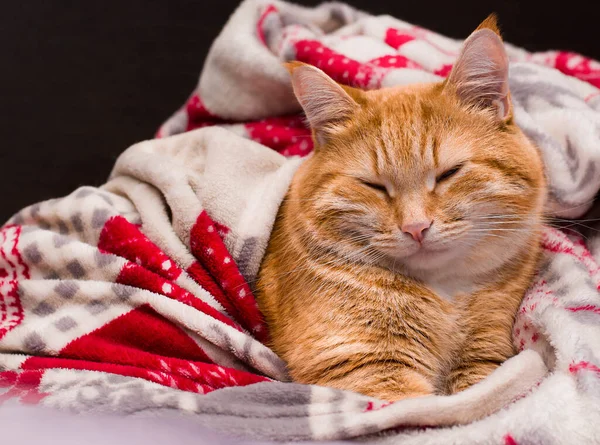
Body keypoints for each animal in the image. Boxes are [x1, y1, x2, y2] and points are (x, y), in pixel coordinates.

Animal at [255, 16, 548, 398]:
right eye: (374, 186)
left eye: (449, 173)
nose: (416, 227)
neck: (445, 295)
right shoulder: (366, 365)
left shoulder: (486, 354)